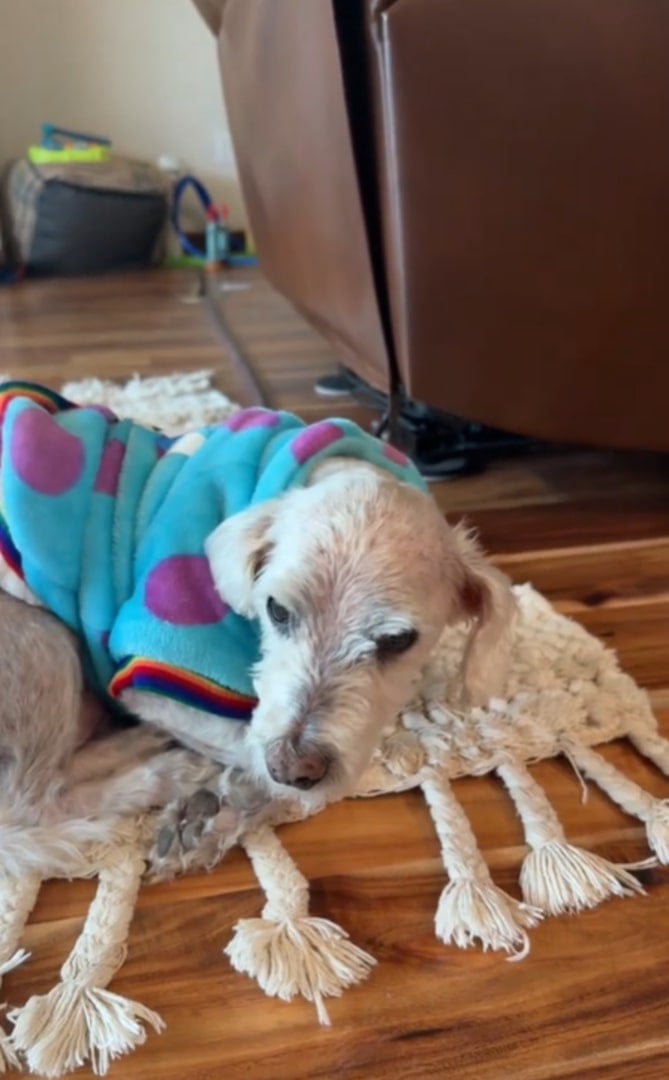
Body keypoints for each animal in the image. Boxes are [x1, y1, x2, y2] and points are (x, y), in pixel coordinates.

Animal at [0, 384, 518, 881]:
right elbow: (254, 746)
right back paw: (165, 773)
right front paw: (218, 809)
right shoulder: (156, 665)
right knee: (32, 798)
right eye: (277, 610)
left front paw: (218, 813)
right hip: (44, 641)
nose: (294, 765)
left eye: (397, 640)